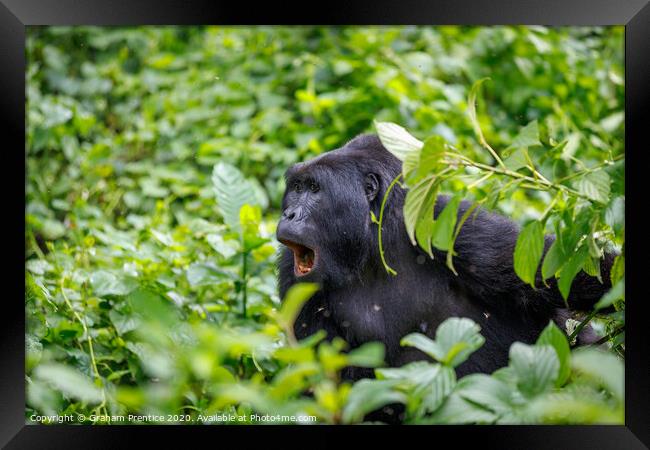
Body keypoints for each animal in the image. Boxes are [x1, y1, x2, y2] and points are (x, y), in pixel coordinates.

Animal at [276, 134, 612, 380]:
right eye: (296, 188)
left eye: (314, 189)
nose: (288, 214)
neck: (374, 247)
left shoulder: (452, 227)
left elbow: (565, 275)